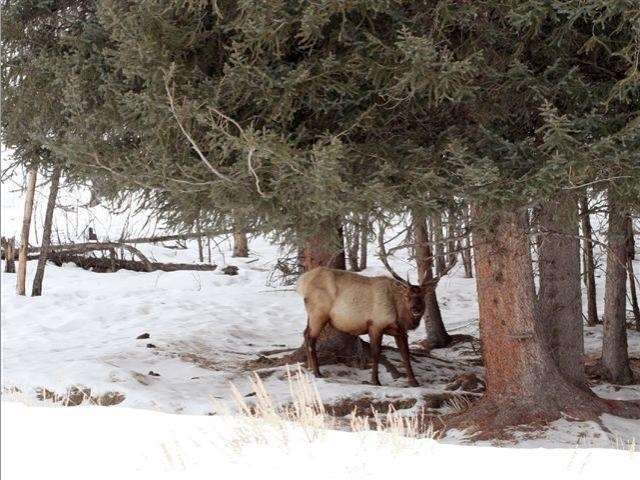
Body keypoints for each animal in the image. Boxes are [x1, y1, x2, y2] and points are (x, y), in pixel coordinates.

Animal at [296, 231, 456, 388]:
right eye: (407, 296)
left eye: (422, 296)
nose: (415, 309)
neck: (399, 315)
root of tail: (302, 282)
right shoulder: (376, 324)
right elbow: (376, 353)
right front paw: (375, 381)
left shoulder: (400, 331)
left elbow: (405, 354)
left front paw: (414, 381)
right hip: (319, 313)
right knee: (310, 338)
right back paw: (317, 372)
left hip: (311, 314)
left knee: (305, 333)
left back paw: (309, 367)